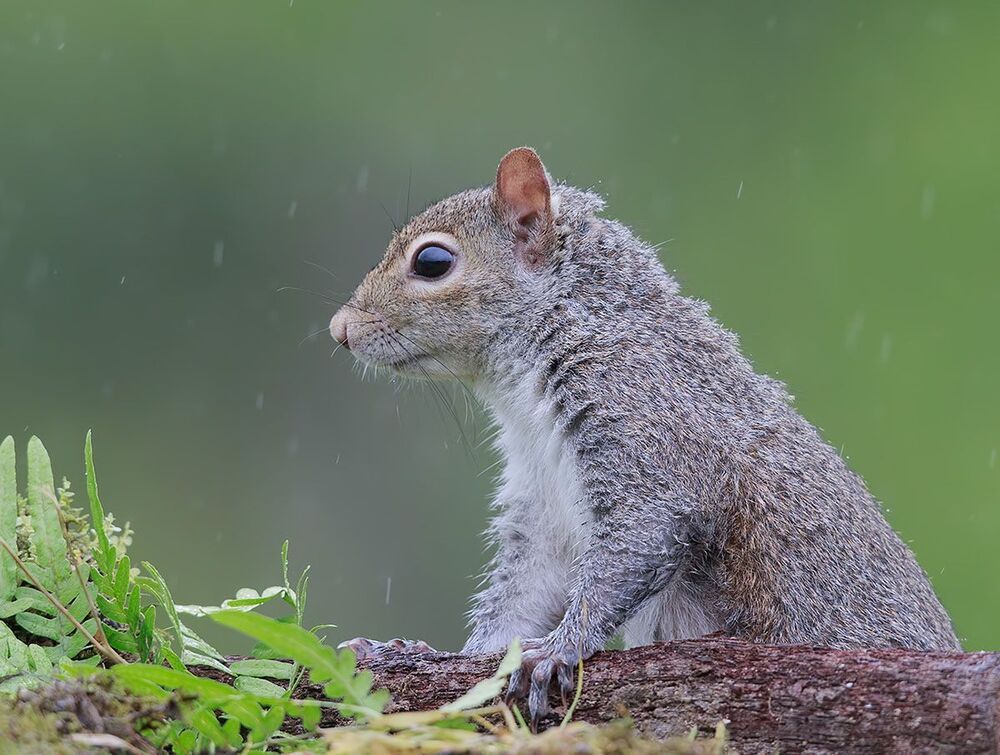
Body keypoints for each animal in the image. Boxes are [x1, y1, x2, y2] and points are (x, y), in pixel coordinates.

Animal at [329, 147, 960, 724]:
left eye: (432, 262)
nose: (340, 329)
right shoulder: (543, 509)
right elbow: (524, 593)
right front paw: (446, 656)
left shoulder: (643, 422)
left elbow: (637, 540)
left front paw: (556, 652)